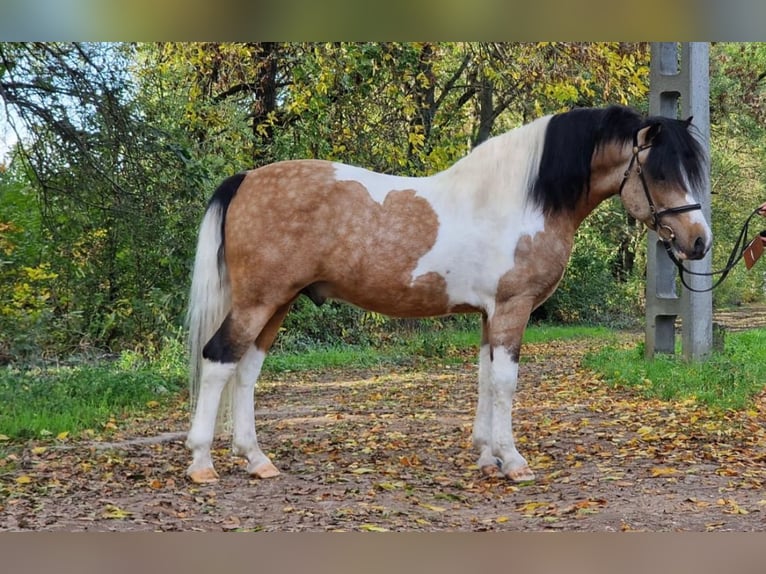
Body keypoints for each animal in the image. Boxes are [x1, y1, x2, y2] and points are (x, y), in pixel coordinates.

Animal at [183, 104, 712, 486]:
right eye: (661, 174)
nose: (699, 242)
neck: (522, 201)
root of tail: (246, 180)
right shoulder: (512, 309)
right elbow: (505, 383)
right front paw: (513, 461)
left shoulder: (489, 315)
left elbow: (484, 378)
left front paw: (486, 456)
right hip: (259, 302)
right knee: (219, 359)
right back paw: (202, 463)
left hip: (278, 302)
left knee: (246, 370)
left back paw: (256, 459)